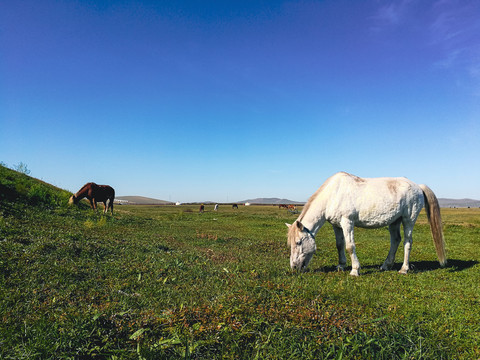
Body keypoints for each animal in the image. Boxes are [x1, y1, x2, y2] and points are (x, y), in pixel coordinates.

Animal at [284, 172, 446, 276]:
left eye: (298, 242)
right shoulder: (336, 225)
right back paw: (386, 265)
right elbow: (340, 245)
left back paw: (404, 269)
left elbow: (350, 246)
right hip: (394, 221)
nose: (294, 267)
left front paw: (355, 270)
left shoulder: (347, 222)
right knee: (396, 240)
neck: (333, 195)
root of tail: (418, 186)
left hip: (408, 219)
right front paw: (341, 266)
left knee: (407, 242)